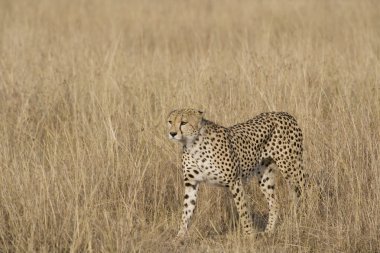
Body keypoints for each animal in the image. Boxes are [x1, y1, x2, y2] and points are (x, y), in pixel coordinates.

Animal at [167, 108, 306, 237]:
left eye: (183, 122)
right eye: (170, 122)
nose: (172, 133)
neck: (192, 144)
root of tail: (284, 113)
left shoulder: (235, 181)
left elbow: (243, 210)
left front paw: (249, 235)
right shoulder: (191, 183)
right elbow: (186, 211)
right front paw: (179, 237)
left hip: (291, 167)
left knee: (304, 189)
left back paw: (306, 216)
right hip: (265, 176)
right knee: (274, 203)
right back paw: (268, 231)